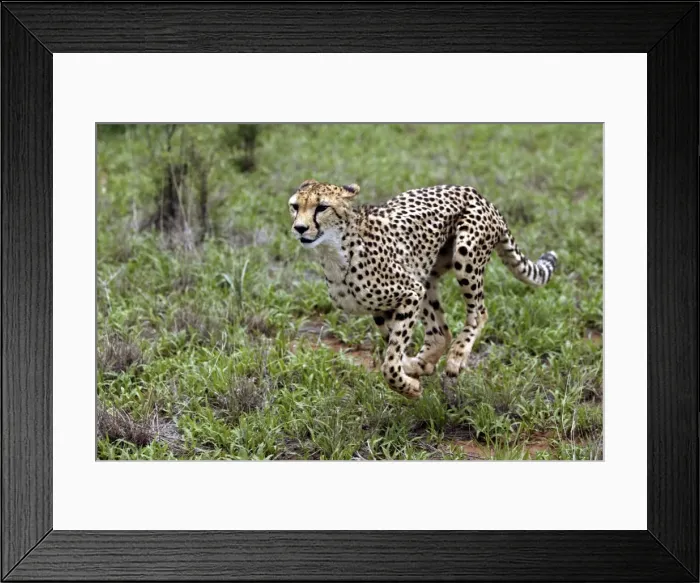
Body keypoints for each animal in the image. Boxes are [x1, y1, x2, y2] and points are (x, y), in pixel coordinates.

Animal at [288, 178, 558, 400]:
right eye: (295, 207)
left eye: (321, 207)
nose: (299, 228)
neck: (334, 252)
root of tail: (476, 193)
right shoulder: (385, 305)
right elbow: (393, 347)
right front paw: (414, 369)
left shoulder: (410, 292)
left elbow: (390, 362)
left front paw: (410, 387)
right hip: (426, 276)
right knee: (440, 333)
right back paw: (424, 361)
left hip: (465, 254)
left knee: (478, 312)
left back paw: (456, 356)